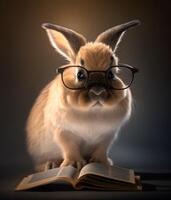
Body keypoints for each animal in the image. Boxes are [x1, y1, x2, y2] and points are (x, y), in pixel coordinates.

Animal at [26, 19, 140, 171]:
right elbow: (70, 148)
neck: (93, 111)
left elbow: (101, 149)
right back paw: (51, 164)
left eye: (111, 74)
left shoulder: (108, 135)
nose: (98, 91)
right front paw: (75, 164)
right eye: (80, 75)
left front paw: (99, 162)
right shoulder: (63, 132)